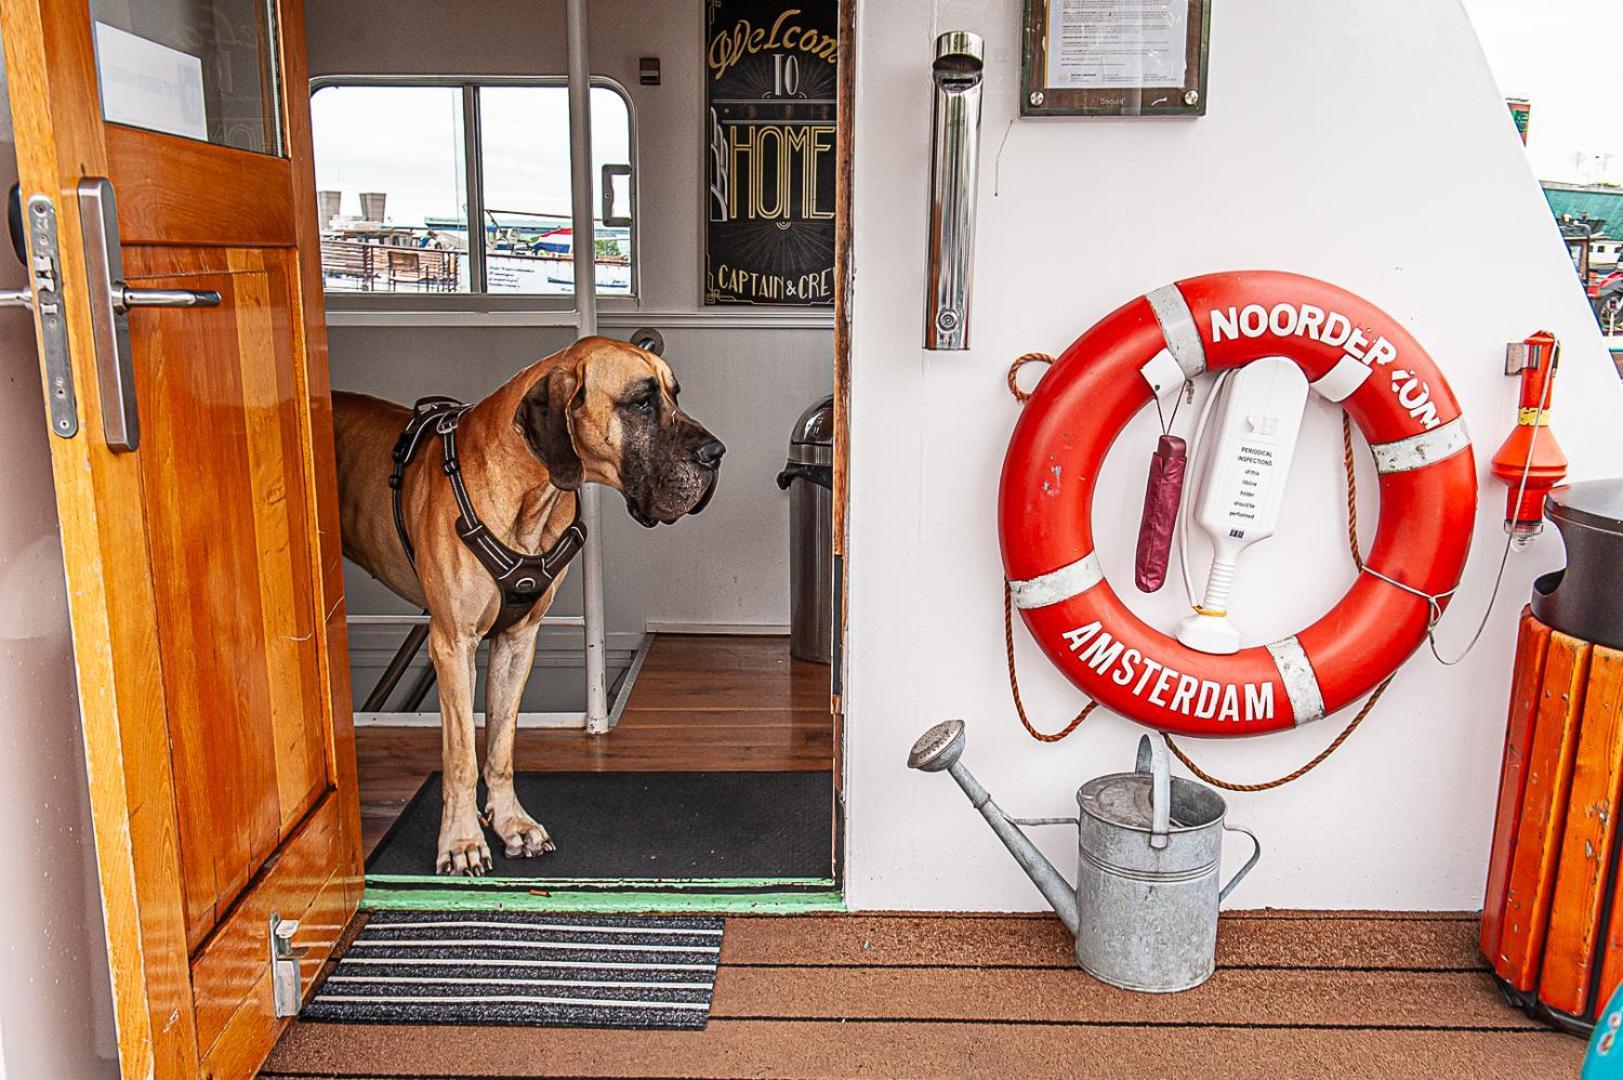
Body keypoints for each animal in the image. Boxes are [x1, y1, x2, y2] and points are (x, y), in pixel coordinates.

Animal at [335, 337, 723, 876]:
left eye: (673, 393)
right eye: (641, 402)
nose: (717, 452)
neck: (531, 492)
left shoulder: (517, 643)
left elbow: (500, 744)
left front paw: (510, 823)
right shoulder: (452, 645)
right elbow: (461, 753)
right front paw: (461, 840)